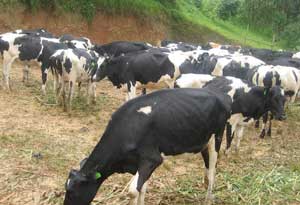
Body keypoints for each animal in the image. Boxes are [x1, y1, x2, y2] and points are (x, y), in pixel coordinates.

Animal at [63, 88, 232, 205]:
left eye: (72, 193)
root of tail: (219, 96)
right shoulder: (139, 164)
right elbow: (141, 189)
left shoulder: (152, 159)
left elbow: (133, 191)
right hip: (203, 142)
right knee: (208, 165)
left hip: (217, 137)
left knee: (213, 170)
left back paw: (208, 199)